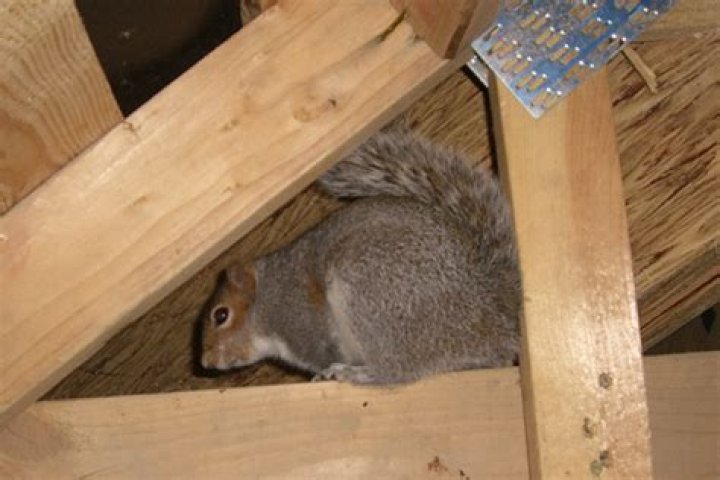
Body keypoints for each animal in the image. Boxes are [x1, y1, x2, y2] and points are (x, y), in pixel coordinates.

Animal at [200, 128, 521, 385]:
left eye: (221, 315)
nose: (206, 361)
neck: (266, 299)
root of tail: (491, 316)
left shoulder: (299, 315)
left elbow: (322, 350)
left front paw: (324, 373)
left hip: (373, 290)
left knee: (399, 371)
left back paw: (358, 373)